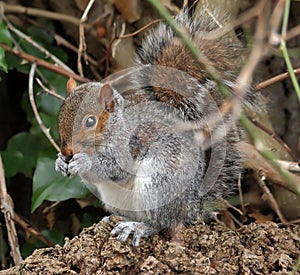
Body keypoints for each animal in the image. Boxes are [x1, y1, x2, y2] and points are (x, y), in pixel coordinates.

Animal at [55, 8, 251, 247]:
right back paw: (116, 218)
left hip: (157, 185)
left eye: (90, 121)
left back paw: (137, 227)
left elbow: (114, 169)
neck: (115, 126)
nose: (66, 151)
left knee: (162, 224)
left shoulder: (132, 142)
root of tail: (192, 207)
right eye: (60, 114)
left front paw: (82, 162)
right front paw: (60, 162)